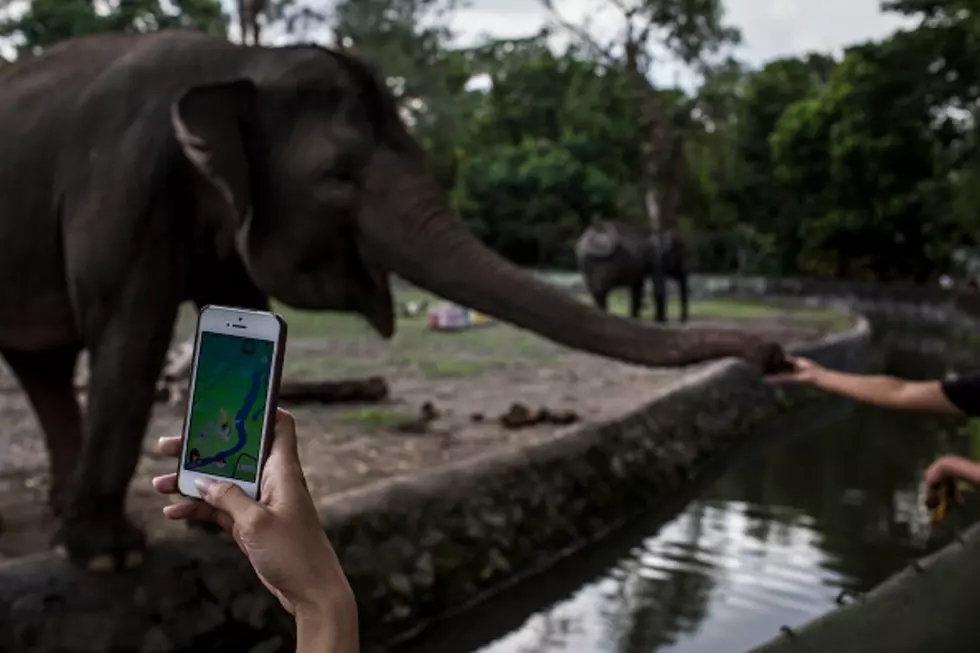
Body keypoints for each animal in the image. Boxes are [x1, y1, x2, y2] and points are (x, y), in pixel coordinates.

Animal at [0, 30, 788, 572]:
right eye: (339, 175)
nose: (776, 353)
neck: (238, 59)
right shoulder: (121, 180)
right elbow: (129, 336)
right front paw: (113, 558)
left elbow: (222, 305)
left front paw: (207, 521)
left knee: (43, 365)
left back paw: (59, 515)